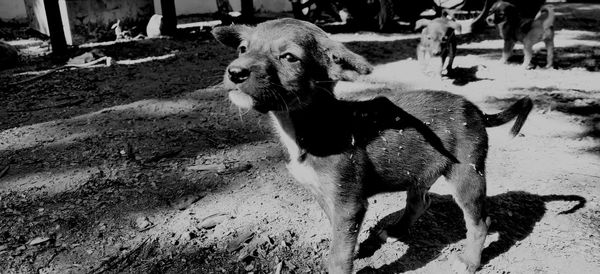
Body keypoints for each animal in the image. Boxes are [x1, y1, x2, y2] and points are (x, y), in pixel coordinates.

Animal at [213, 18, 532, 272]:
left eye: (289, 57)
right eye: (242, 49)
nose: (234, 72)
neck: (308, 127)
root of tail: (477, 110)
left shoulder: (349, 203)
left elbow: (339, 256)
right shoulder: (326, 197)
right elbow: (340, 238)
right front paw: (356, 248)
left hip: (467, 175)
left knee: (480, 222)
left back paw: (469, 262)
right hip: (420, 171)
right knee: (420, 202)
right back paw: (394, 231)